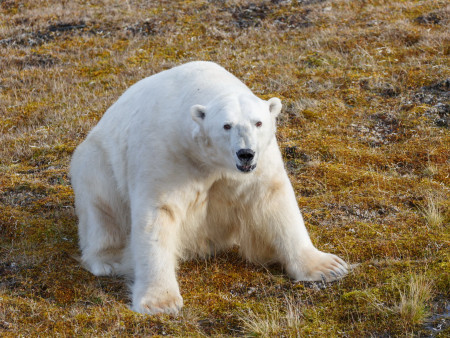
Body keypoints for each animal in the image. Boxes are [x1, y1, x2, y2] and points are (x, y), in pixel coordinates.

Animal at [69, 60, 348, 314]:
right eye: (226, 125)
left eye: (258, 123)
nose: (245, 153)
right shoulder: (165, 156)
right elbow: (159, 214)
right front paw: (161, 302)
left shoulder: (258, 167)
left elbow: (274, 202)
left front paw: (329, 266)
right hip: (96, 166)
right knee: (102, 211)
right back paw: (110, 260)